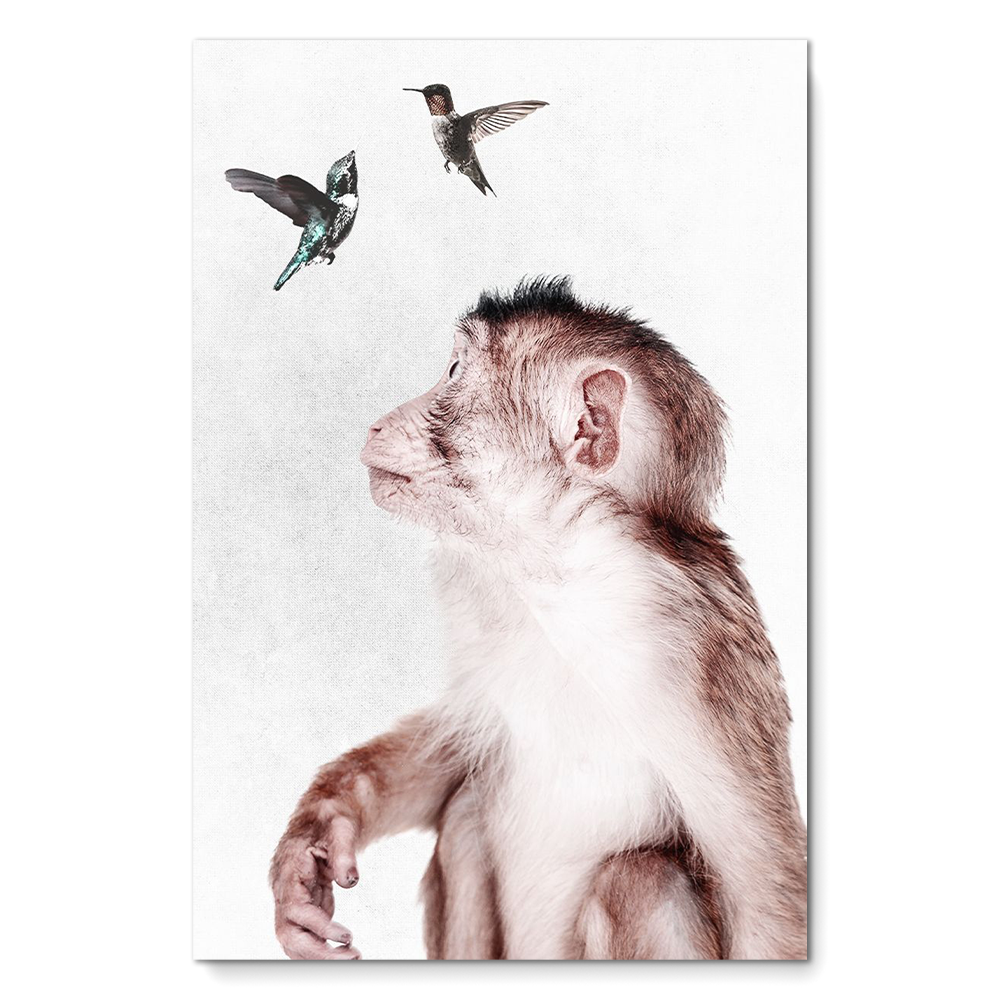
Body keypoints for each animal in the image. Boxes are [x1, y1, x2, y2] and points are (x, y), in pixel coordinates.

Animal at [269, 277, 807, 961]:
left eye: (452, 373)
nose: (378, 422)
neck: (569, 581)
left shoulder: (696, 655)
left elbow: (764, 893)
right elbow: (456, 746)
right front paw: (320, 834)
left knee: (640, 878)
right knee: (467, 816)